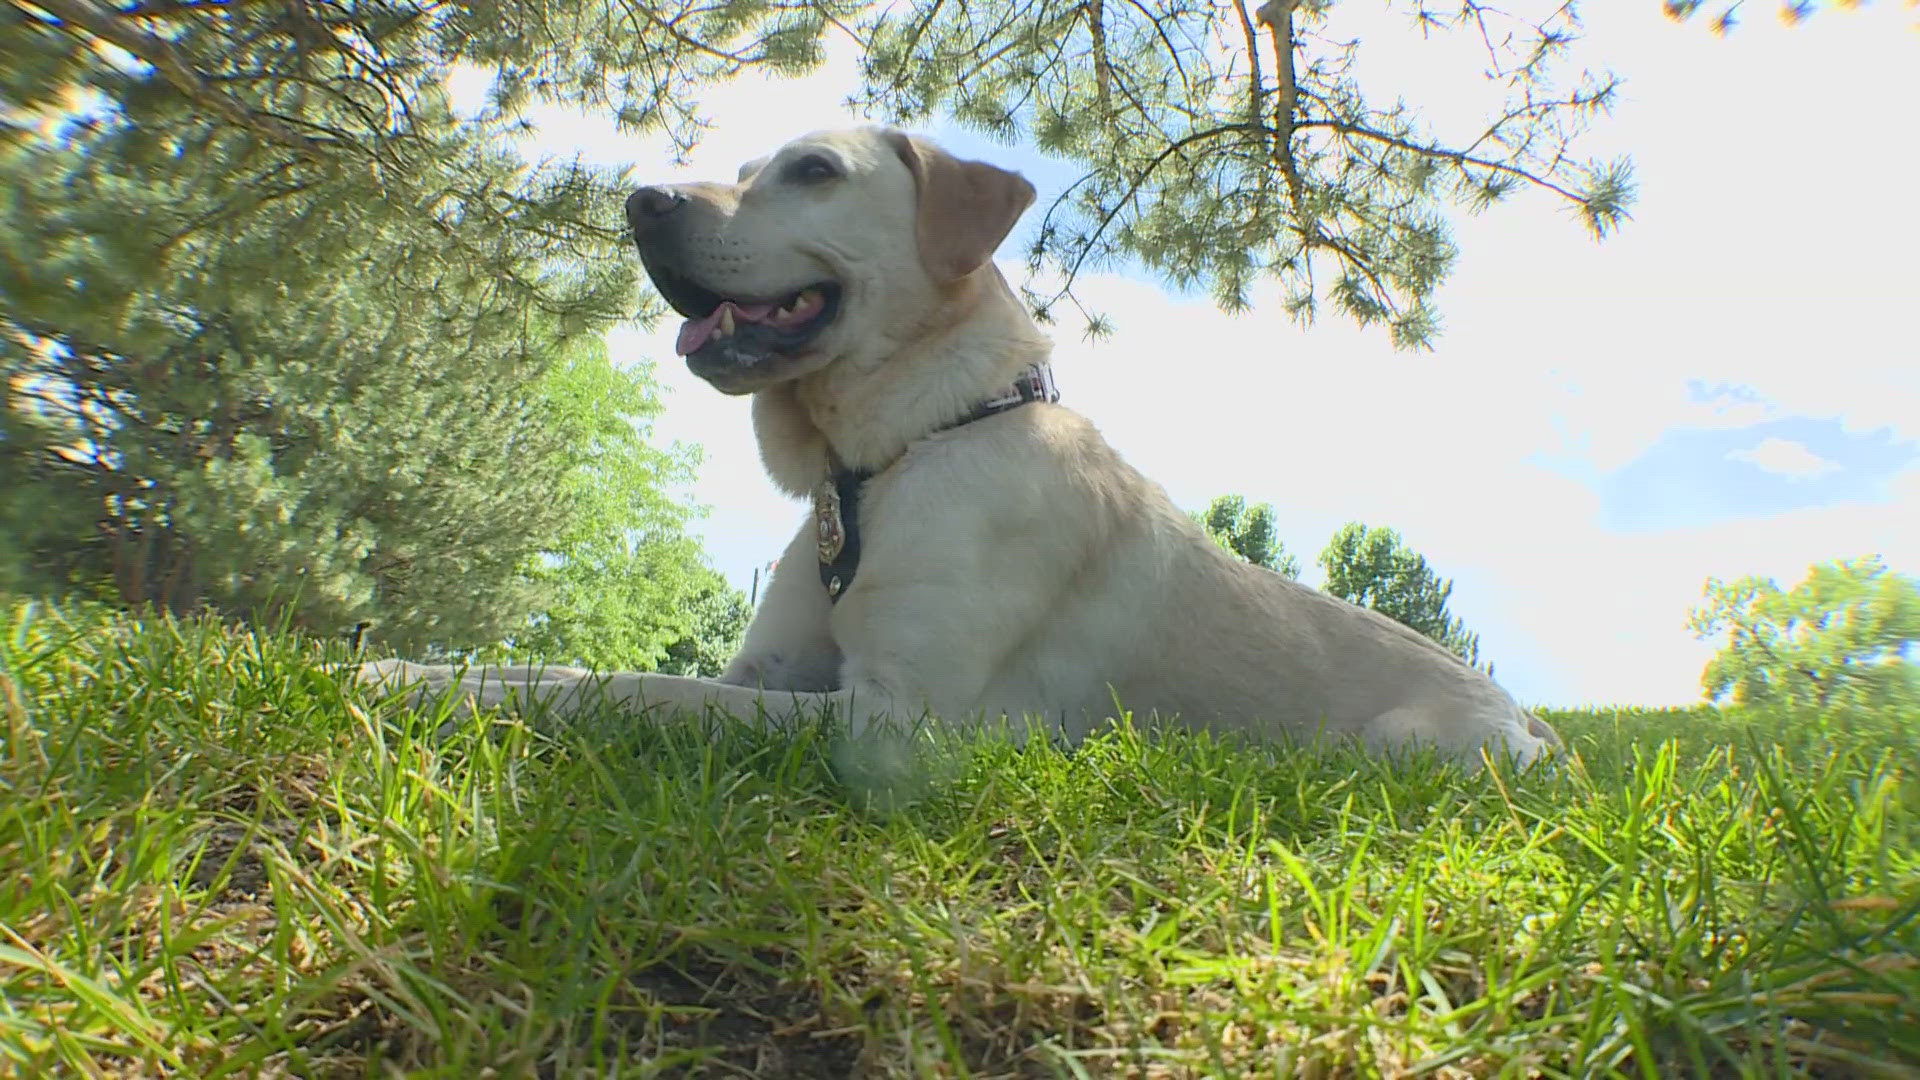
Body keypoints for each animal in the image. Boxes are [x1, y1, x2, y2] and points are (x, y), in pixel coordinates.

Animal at [360, 125, 1559, 764]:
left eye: (812, 171)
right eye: (743, 172)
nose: (639, 200)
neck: (892, 451)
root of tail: (1530, 719)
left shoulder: (902, 718)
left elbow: (643, 693)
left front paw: (444, 695)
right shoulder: (778, 667)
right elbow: (573, 663)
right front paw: (393, 665)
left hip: (1402, 746)